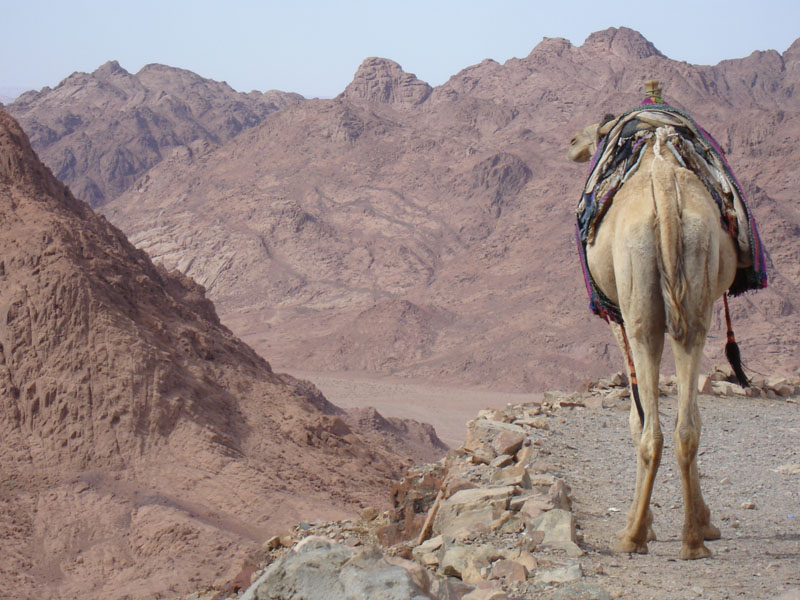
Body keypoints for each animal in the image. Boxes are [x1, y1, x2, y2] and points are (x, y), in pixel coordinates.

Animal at [564, 116, 740, 556]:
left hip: (639, 303)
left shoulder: (616, 316)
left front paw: (647, 523)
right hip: (695, 292)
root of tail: (662, 183)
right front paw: (705, 522)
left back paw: (633, 535)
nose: (572, 141)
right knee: (687, 426)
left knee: (651, 431)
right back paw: (694, 539)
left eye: (596, 131)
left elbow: (635, 414)